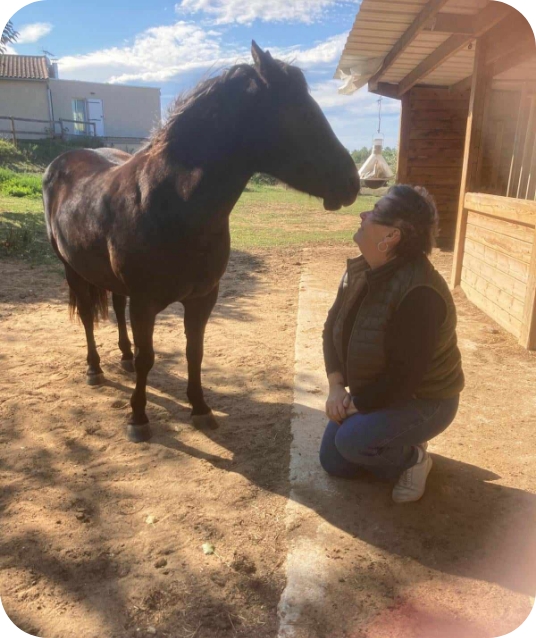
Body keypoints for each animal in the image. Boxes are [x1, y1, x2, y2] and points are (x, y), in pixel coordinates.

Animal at [43, 42, 360, 442]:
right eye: (300, 113)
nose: (352, 182)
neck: (170, 204)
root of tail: (60, 162)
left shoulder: (203, 297)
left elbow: (195, 351)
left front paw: (200, 408)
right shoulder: (145, 303)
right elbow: (150, 357)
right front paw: (138, 418)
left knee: (115, 307)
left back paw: (124, 359)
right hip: (70, 268)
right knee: (87, 316)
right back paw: (94, 369)